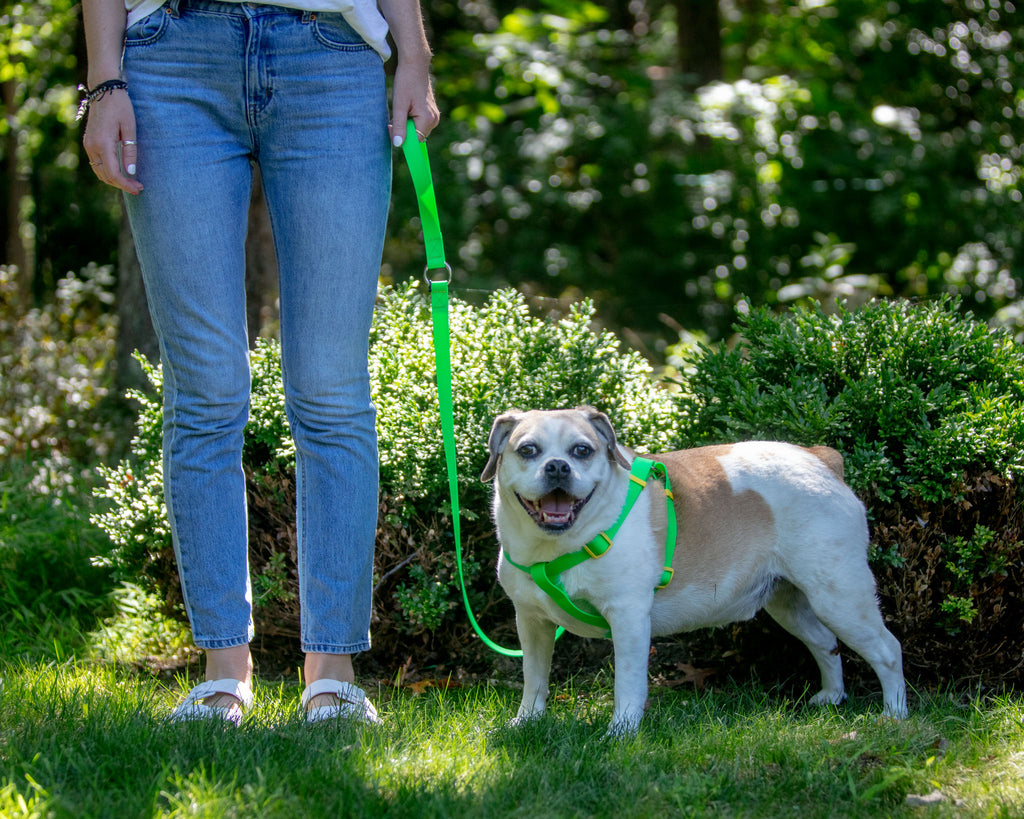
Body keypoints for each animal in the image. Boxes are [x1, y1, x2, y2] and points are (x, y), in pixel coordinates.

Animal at [483, 405, 909, 733]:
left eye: (582, 450)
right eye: (528, 450)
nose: (557, 466)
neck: (558, 544)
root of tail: (820, 459)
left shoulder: (629, 619)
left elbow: (628, 683)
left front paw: (621, 731)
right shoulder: (531, 622)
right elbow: (534, 678)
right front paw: (526, 722)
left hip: (841, 598)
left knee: (888, 650)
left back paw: (894, 714)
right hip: (790, 603)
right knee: (825, 643)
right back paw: (831, 697)